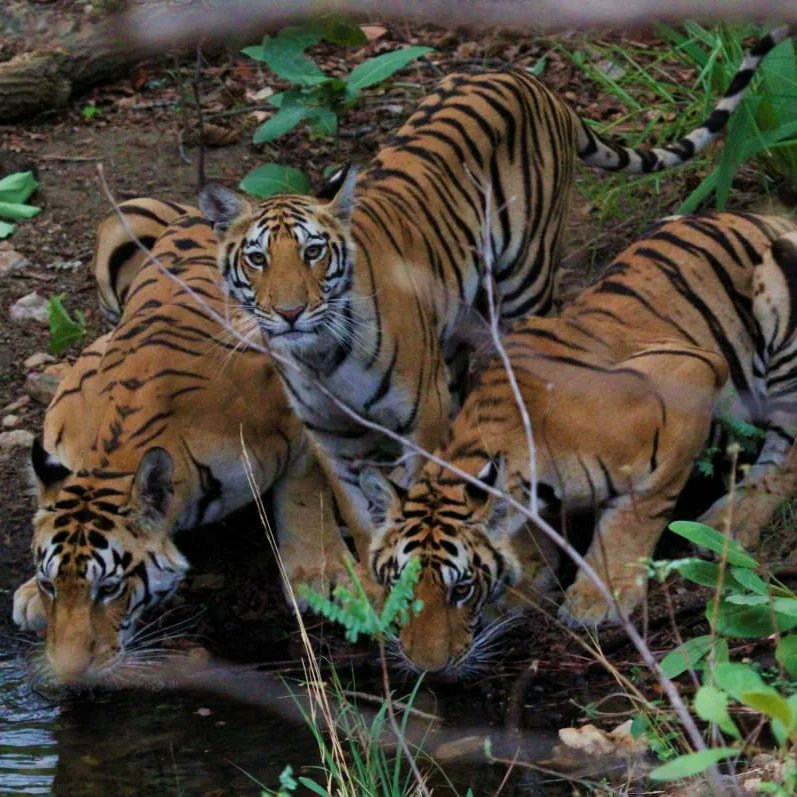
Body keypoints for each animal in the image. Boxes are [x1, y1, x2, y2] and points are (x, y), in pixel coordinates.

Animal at [11, 200, 347, 685]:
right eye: (49, 583)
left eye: (109, 588)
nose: (70, 673)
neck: (115, 454)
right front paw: (29, 597)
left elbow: (306, 488)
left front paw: (321, 576)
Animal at [199, 27, 795, 570]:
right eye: (257, 259)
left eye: (314, 251)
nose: (290, 313)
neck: (319, 355)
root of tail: (534, 81)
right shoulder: (331, 439)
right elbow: (361, 515)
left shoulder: (423, 417)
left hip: (526, 282)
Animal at [360, 212, 797, 676]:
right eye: (399, 586)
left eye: (461, 589)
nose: (429, 668)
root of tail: (770, 217)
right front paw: (525, 580)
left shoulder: (687, 380)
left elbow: (632, 519)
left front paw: (596, 597)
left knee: (786, 453)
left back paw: (730, 519)